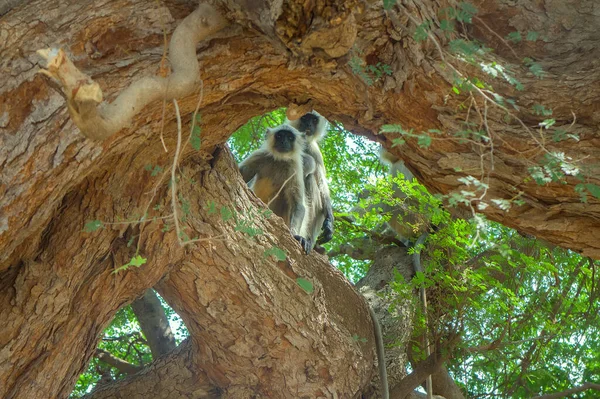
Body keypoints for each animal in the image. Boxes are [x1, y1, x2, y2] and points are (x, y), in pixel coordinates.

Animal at [238, 126, 314, 255]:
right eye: (279, 136)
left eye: (290, 137)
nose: (283, 142)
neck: (280, 160)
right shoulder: (260, 155)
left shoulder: (294, 168)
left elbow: (298, 205)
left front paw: (296, 236)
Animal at [284, 111, 332, 252]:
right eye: (305, 117)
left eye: (314, 120)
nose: (308, 124)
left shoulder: (313, 149)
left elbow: (321, 182)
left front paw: (329, 222)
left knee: (311, 179)